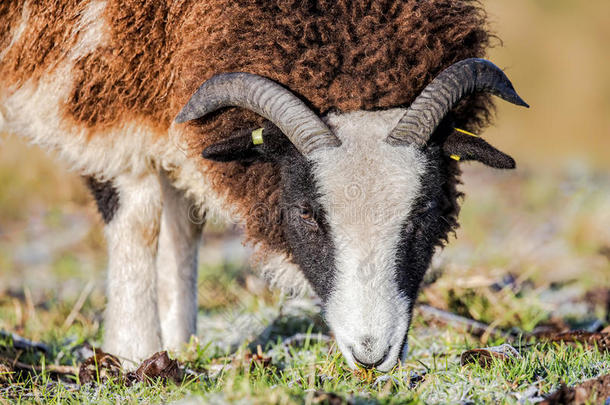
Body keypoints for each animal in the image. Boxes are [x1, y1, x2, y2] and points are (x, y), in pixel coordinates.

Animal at [0, 0, 524, 370]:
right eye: (306, 213)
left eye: (426, 211)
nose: (373, 355)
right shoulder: (102, 81)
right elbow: (139, 215)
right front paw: (133, 353)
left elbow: (184, 220)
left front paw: (178, 345)